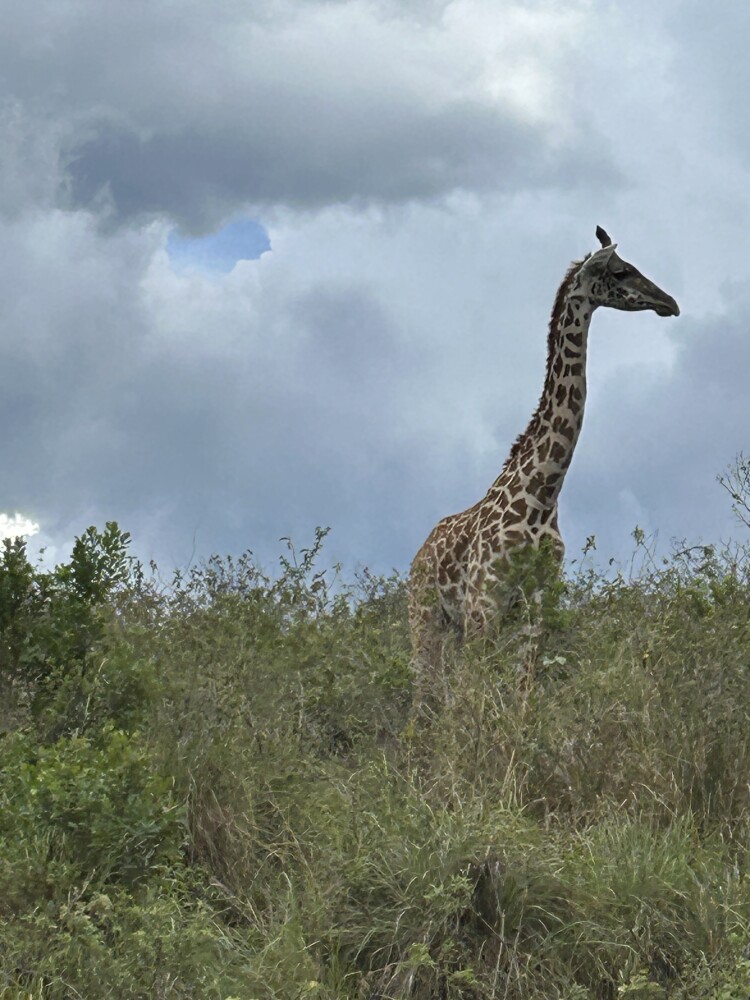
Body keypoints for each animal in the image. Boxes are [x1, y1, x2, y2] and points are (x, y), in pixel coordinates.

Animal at [408, 227, 679, 701]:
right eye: (621, 271)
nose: (670, 302)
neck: (543, 493)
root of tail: (416, 559)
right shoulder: (484, 602)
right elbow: (475, 696)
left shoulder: (536, 605)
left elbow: (521, 692)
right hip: (425, 619)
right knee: (424, 696)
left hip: (452, 626)